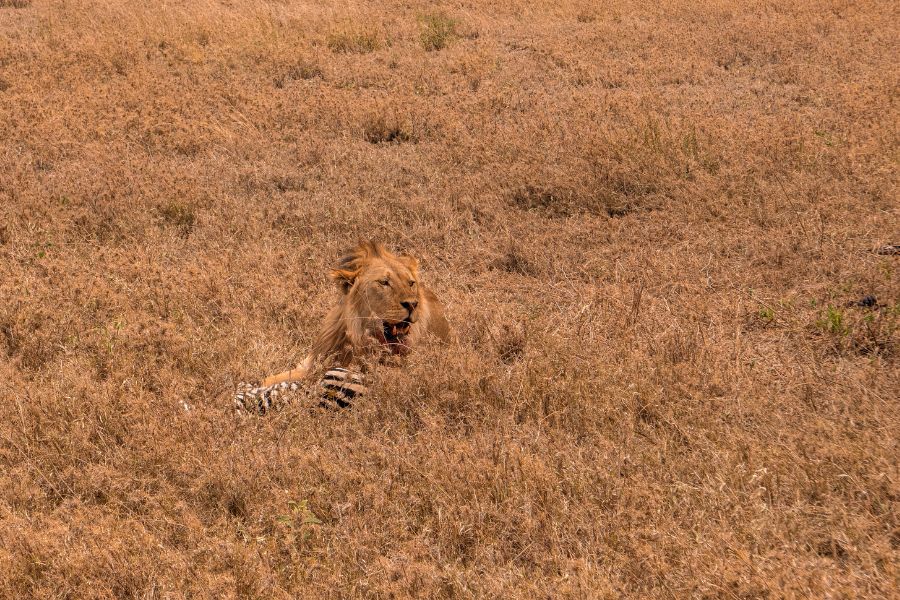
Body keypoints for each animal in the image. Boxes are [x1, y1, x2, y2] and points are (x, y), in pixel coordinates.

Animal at [261, 241, 450, 387]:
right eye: (384, 282)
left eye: (410, 283)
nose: (412, 304)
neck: (358, 338)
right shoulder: (311, 363)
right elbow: (268, 379)